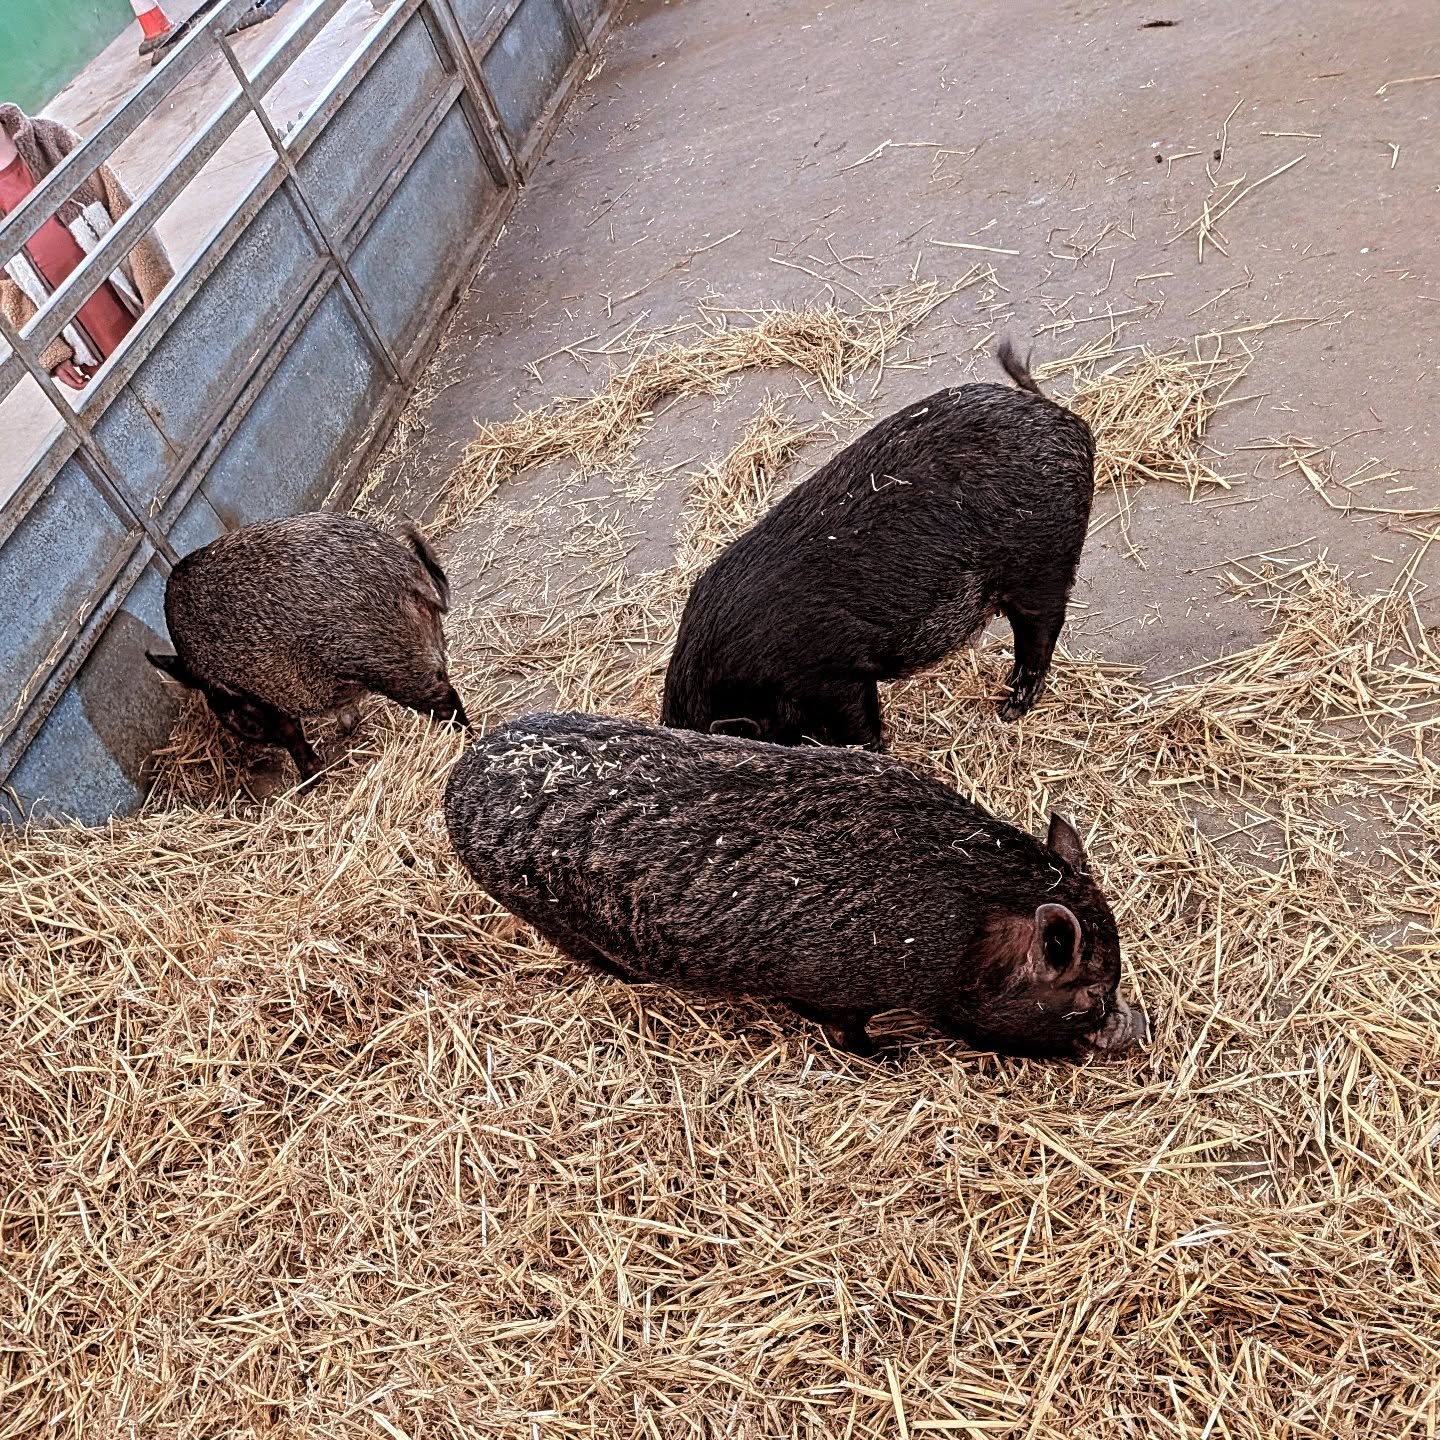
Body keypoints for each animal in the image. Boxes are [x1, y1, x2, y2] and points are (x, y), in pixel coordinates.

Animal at [147, 512, 468, 781]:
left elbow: (290, 733)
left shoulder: (262, 697)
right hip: (421, 644)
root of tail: (405, 572)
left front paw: (308, 780)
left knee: (445, 698)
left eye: (229, 714)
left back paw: (462, 739)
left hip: (387, 658)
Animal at [444, 712, 1145, 1061]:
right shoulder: (830, 989)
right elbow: (845, 1034)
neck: (966, 933)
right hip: (544, 915)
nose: (1141, 1025)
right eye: (1089, 994)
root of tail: (455, 781)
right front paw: (891, 1057)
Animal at [660, 341, 1095, 748]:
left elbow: (858, 723)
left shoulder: (834, 675)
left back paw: (1010, 708)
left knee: (1042, 627)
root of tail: (1059, 414)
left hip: (1046, 558)